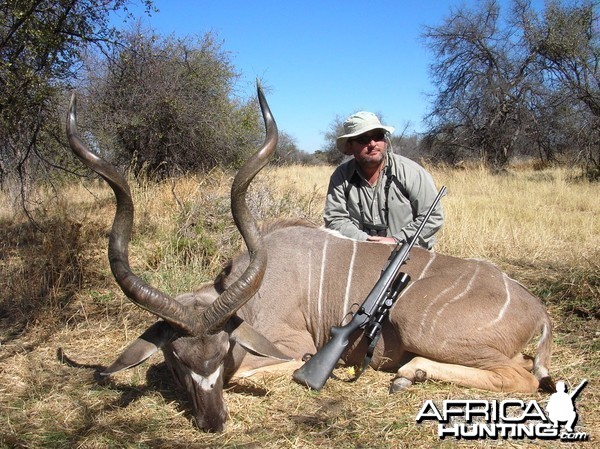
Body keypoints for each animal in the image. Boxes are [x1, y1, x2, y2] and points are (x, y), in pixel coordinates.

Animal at [64, 85, 552, 434]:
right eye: (178, 359)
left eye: (221, 354)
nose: (214, 423)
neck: (250, 301)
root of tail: (537, 309)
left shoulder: (287, 343)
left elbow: (262, 370)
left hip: (420, 325)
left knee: (523, 378)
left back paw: (408, 374)